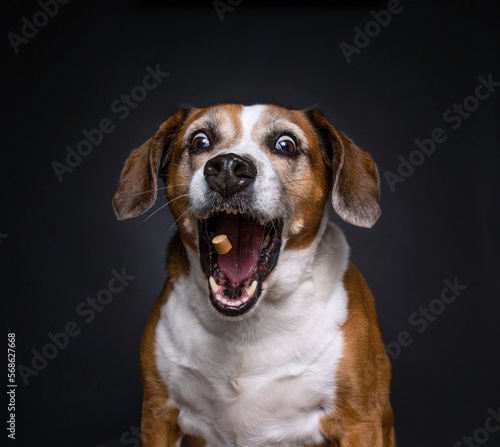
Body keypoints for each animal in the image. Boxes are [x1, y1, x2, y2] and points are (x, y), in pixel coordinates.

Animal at [112, 103, 394, 446]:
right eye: (200, 141)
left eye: (286, 144)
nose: (229, 167)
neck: (246, 326)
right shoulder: (157, 414)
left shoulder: (359, 421)